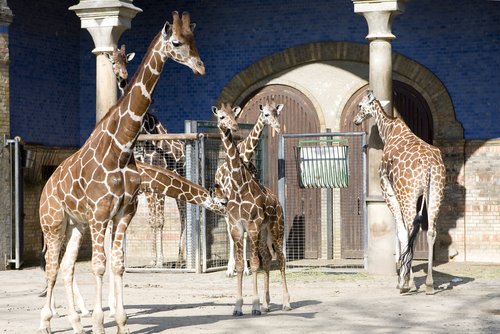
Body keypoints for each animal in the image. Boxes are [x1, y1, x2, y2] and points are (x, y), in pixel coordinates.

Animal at [36, 11, 205, 334]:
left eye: (193, 39)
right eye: (176, 42)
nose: (200, 67)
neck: (123, 148)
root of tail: (46, 188)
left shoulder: (123, 212)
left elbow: (117, 263)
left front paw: (121, 322)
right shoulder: (101, 214)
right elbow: (99, 265)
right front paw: (100, 322)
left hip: (76, 225)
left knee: (66, 265)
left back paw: (76, 323)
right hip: (53, 223)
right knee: (51, 266)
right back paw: (47, 322)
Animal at [210, 103, 290, 316]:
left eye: (233, 115)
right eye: (221, 117)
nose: (234, 127)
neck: (239, 185)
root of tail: (277, 202)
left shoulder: (252, 226)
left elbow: (254, 264)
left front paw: (254, 304)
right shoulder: (237, 226)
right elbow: (241, 263)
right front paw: (238, 306)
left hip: (276, 228)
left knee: (280, 259)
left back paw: (286, 302)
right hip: (262, 233)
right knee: (268, 258)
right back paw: (267, 303)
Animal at [352, 90, 446, 294]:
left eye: (361, 106)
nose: (355, 120)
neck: (389, 132)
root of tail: (428, 166)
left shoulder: (387, 189)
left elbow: (401, 232)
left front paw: (403, 280)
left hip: (407, 195)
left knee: (411, 229)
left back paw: (406, 284)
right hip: (436, 192)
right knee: (430, 231)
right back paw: (429, 284)